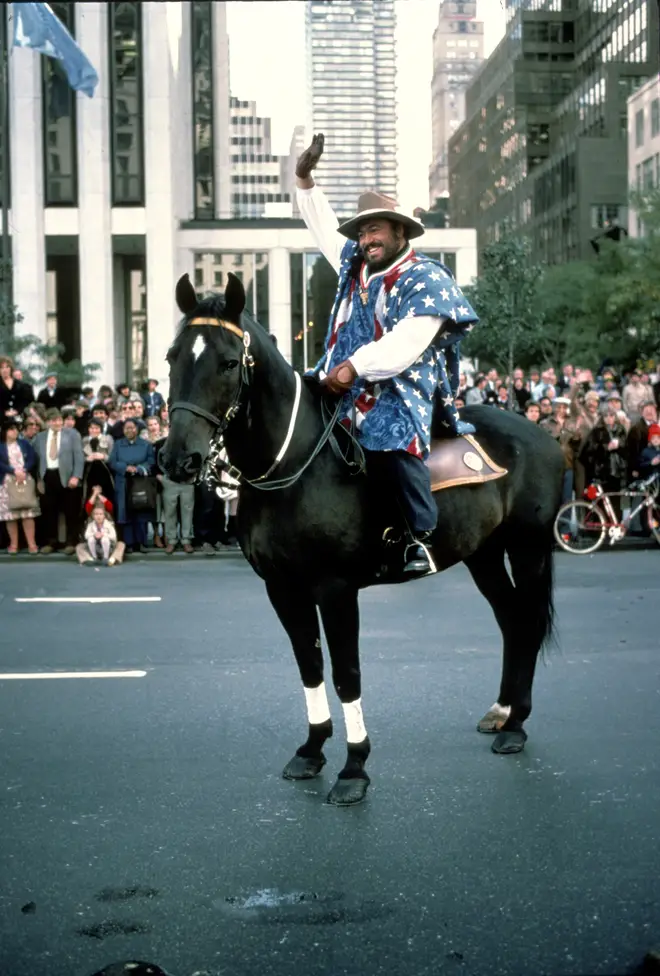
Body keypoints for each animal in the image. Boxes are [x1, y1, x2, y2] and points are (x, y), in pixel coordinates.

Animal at [162, 274, 564, 808]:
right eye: (172, 357)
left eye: (229, 362)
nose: (178, 459)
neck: (295, 465)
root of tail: (543, 434)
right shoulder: (282, 588)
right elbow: (309, 664)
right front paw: (311, 750)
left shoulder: (335, 589)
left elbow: (346, 672)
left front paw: (354, 767)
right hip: (484, 555)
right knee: (512, 620)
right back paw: (502, 711)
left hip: (529, 547)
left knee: (529, 621)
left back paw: (516, 724)